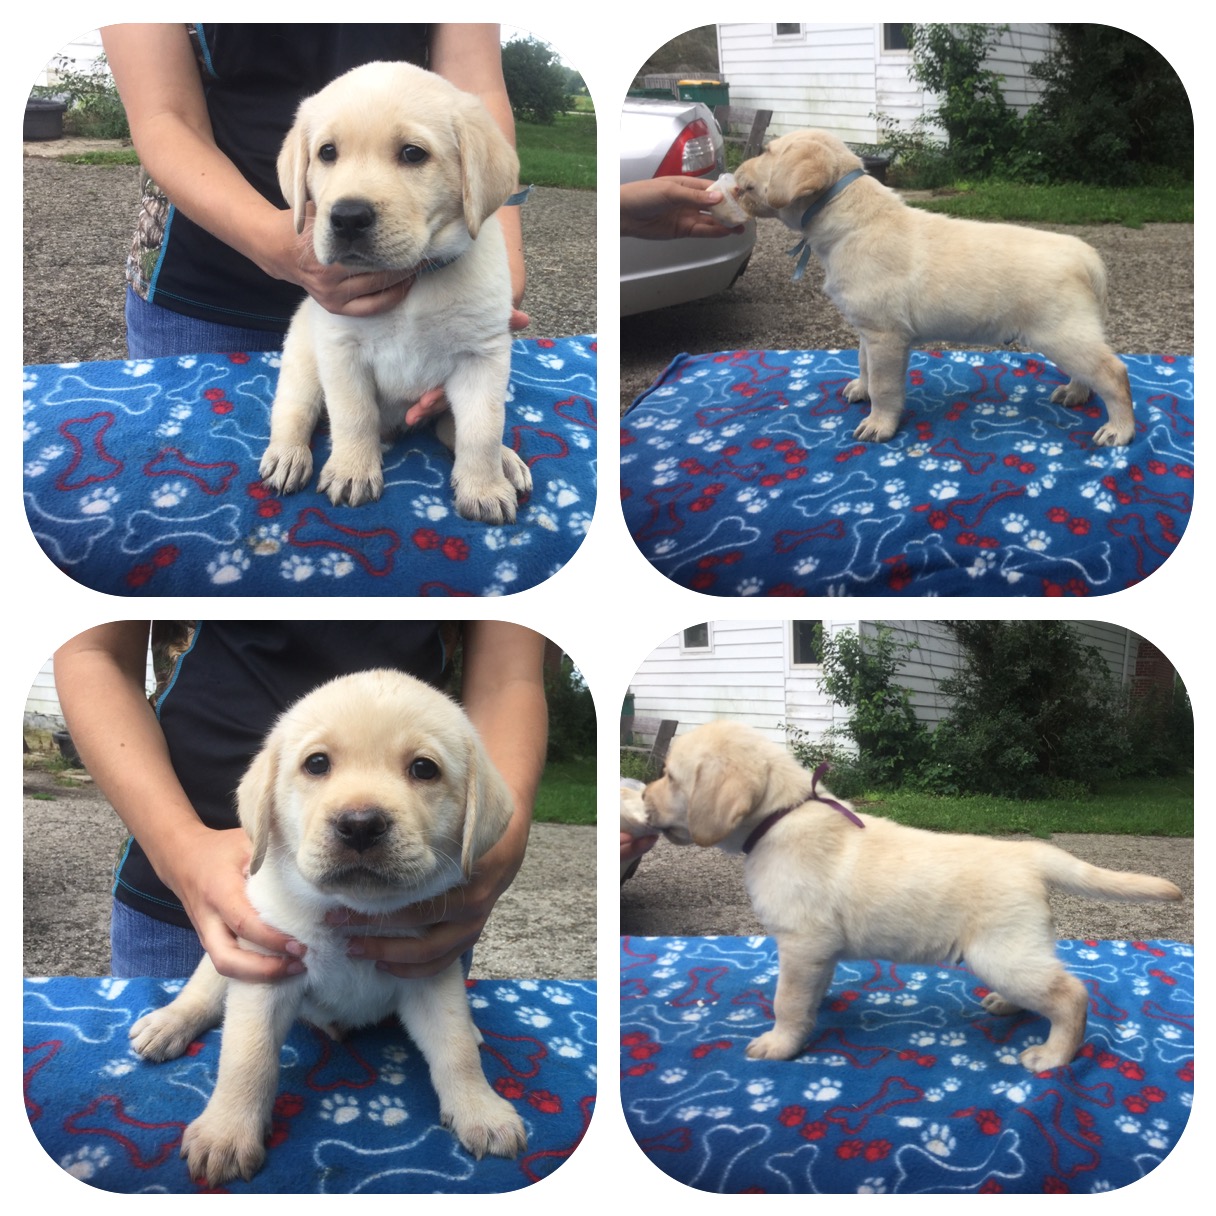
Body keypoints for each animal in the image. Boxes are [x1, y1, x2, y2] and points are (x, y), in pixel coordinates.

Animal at [129, 671, 527, 1181]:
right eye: (317, 764)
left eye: (424, 769)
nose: (360, 824)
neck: (351, 913)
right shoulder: (267, 969)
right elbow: (246, 1057)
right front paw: (227, 1132)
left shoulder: (430, 973)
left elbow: (455, 1048)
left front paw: (482, 1110)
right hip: (231, 953)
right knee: (203, 991)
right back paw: (169, 1023)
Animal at [259, 62, 530, 518]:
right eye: (327, 152)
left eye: (413, 154)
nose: (348, 217)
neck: (414, 277)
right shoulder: (342, 351)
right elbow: (353, 416)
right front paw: (352, 470)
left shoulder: (483, 357)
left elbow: (483, 430)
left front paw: (484, 488)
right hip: (303, 362)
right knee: (293, 411)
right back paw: (288, 455)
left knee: (454, 428)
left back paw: (506, 463)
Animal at [642, 719, 1181, 1074]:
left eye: (669, 776)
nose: (643, 799)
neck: (781, 816)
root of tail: (1029, 854)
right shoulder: (817, 950)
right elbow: (809, 992)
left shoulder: (800, 941)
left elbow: (787, 1001)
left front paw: (780, 1044)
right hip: (1015, 950)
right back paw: (1007, 1006)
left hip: (1001, 952)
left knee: (1071, 994)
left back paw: (1053, 1055)